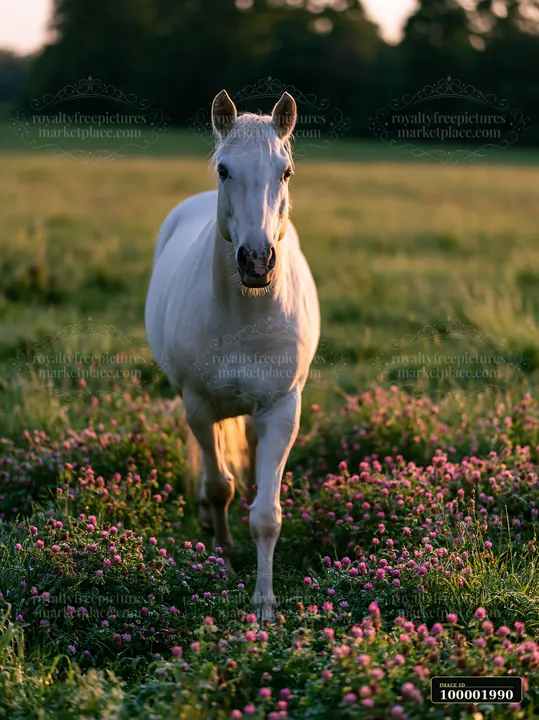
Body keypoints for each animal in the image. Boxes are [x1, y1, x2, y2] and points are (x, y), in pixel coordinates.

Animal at [145, 89, 320, 620]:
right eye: (224, 169)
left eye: (286, 171)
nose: (257, 261)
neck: (247, 312)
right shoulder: (199, 405)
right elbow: (218, 485)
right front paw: (222, 560)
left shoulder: (282, 409)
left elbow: (266, 514)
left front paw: (264, 606)